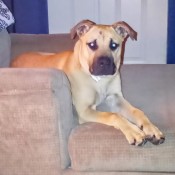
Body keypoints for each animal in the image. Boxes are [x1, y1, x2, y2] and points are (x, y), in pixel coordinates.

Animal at [10, 19, 164, 146]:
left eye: (114, 45)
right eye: (92, 44)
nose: (104, 63)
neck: (100, 80)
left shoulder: (115, 98)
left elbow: (137, 112)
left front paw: (151, 129)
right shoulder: (85, 110)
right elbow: (113, 115)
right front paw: (134, 131)